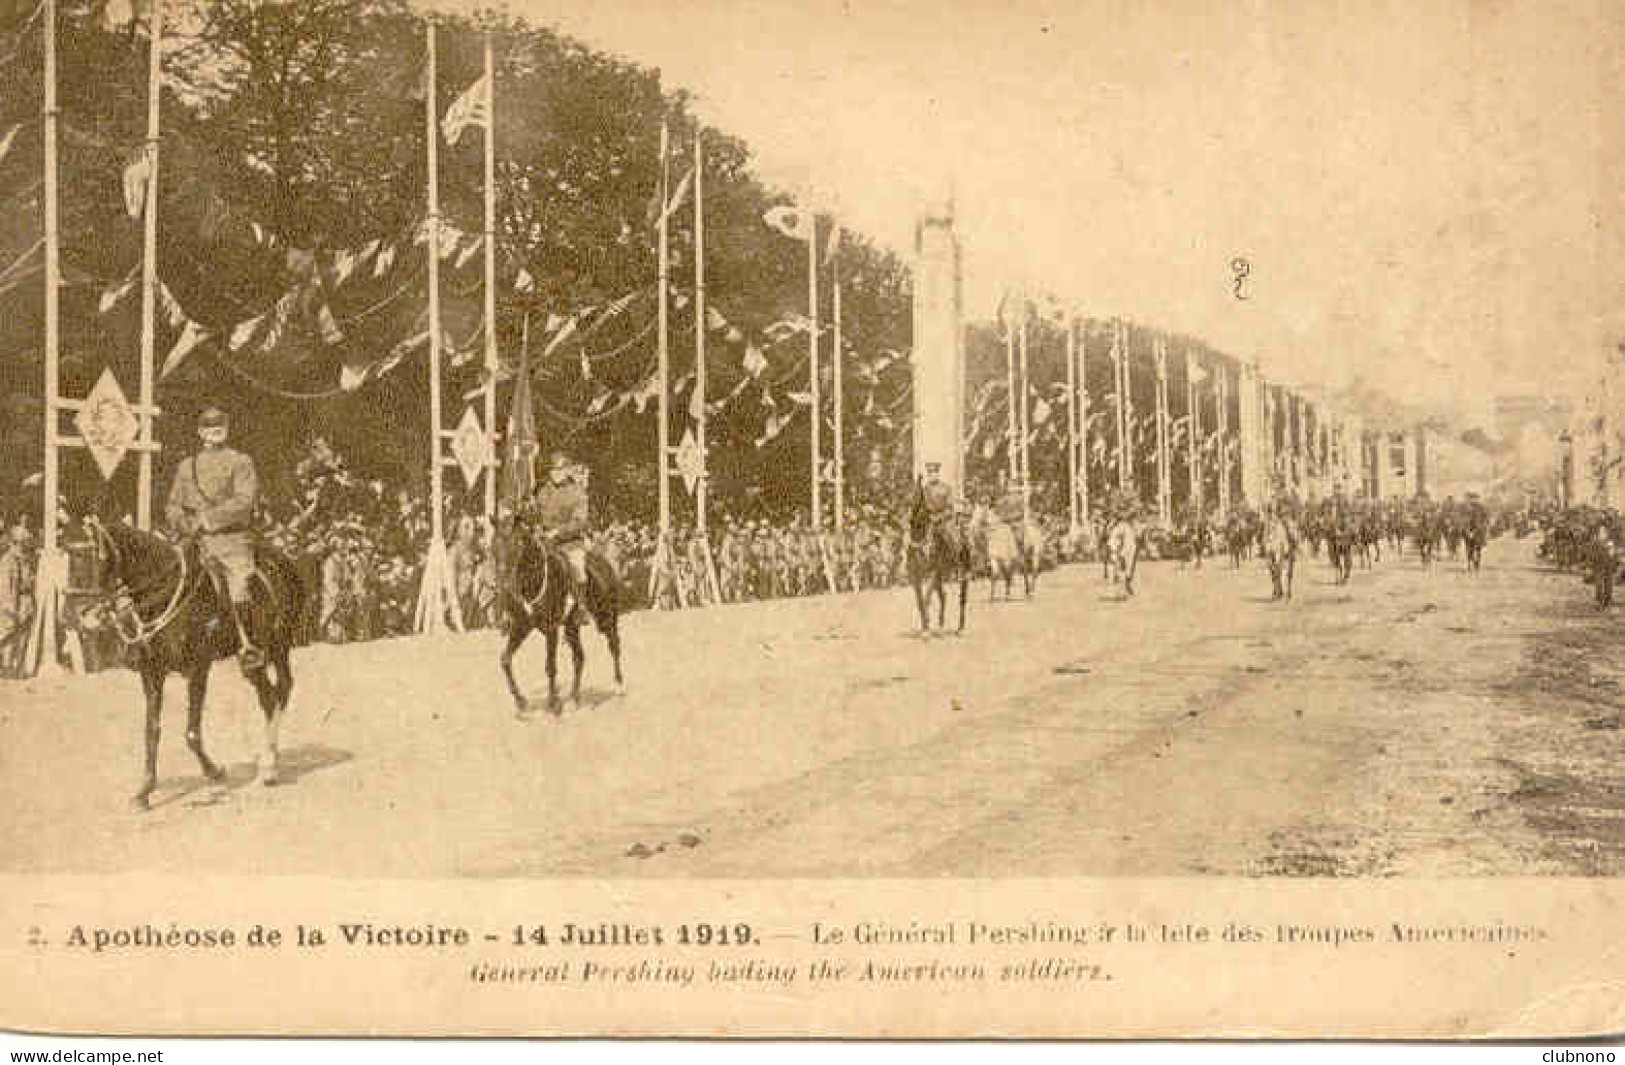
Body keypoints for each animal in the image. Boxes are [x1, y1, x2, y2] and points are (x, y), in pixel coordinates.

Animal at [81, 517, 305, 809]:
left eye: (102, 557)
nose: (89, 616)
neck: (166, 594)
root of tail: (283, 559)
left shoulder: (198, 669)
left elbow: (191, 733)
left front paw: (214, 773)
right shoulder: (152, 674)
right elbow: (151, 731)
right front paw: (144, 791)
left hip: (278, 646)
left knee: (280, 691)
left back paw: (269, 766)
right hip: (253, 662)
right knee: (270, 696)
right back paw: (270, 760)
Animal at [494, 523, 620, 715]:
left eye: (517, 549)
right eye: (494, 549)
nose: (505, 588)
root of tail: (603, 562)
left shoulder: (551, 628)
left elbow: (550, 667)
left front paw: (554, 703)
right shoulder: (521, 626)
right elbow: (505, 660)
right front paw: (521, 701)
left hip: (606, 618)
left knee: (613, 646)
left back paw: (619, 685)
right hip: (571, 627)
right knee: (579, 658)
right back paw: (574, 698)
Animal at [910, 497, 968, 634]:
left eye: (923, 525)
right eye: (911, 523)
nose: (918, 551)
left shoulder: (933, 573)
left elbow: (926, 598)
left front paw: (926, 628)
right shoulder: (915, 576)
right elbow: (920, 601)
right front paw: (925, 626)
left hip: (963, 573)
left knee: (962, 598)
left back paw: (960, 628)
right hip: (940, 576)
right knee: (943, 596)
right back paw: (940, 624)